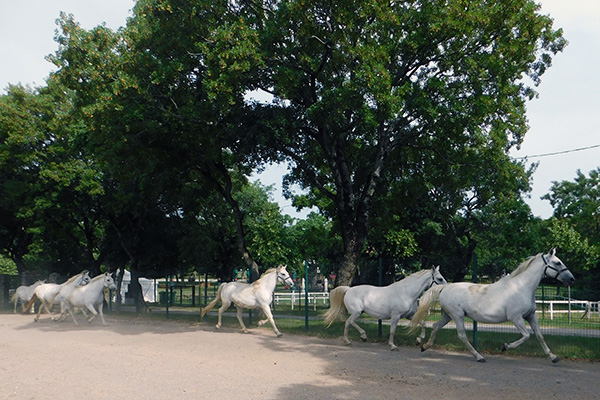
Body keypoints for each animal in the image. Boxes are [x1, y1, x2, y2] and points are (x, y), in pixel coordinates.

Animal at [410, 248, 576, 364]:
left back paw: (424, 346)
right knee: (462, 335)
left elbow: (540, 335)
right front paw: (505, 347)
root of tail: (444, 288)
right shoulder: (516, 318)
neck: (522, 287)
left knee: (436, 326)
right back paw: (479, 357)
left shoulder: (531, 315)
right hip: (457, 316)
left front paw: (553, 357)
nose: (572, 279)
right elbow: (526, 335)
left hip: (448, 315)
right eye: (557, 262)